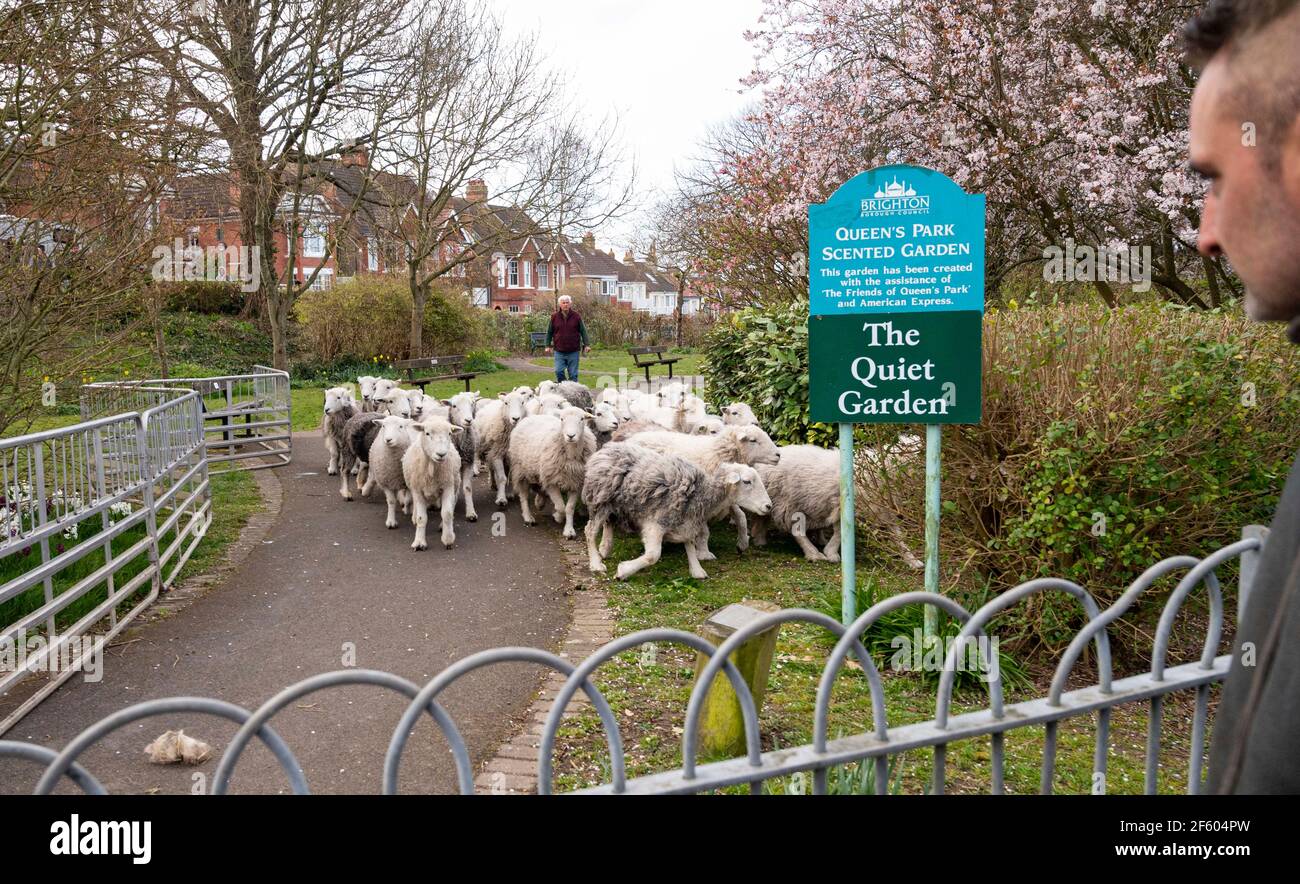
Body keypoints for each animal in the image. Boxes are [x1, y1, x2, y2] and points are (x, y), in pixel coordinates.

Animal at [582, 441, 769, 579]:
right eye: (747, 481)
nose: (768, 506)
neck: (702, 492)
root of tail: (604, 450)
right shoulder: (656, 524)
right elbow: (652, 555)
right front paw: (624, 571)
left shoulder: (688, 521)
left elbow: (690, 543)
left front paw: (697, 570)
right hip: (599, 501)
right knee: (590, 530)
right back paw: (596, 563)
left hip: (613, 505)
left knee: (608, 524)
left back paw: (604, 549)